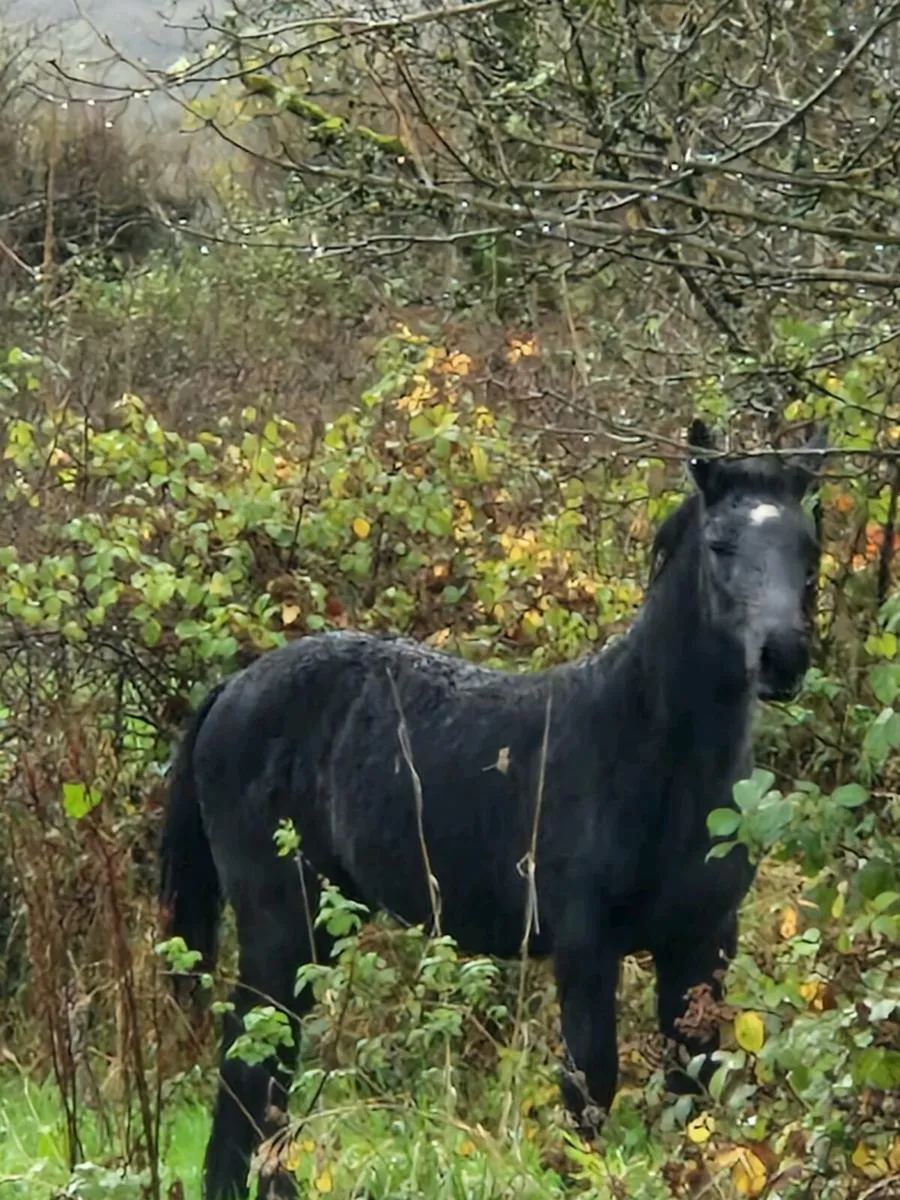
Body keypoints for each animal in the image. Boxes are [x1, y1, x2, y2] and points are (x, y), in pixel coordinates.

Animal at [159, 418, 825, 1199]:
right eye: (720, 545)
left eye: (807, 548)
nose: (782, 657)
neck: (648, 751)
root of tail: (232, 688)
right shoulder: (584, 945)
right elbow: (590, 1087)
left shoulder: (703, 943)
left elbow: (693, 1086)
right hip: (280, 921)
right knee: (251, 1057)